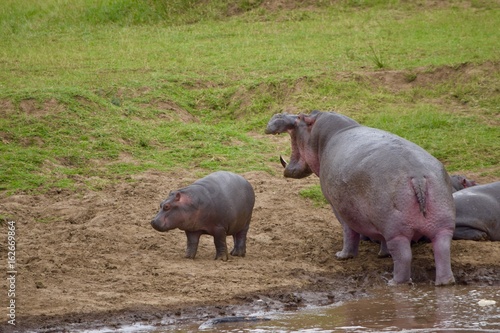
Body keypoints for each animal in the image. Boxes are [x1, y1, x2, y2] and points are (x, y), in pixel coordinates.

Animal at [266, 111, 458, 286]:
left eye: (299, 117)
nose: (278, 114)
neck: (323, 135)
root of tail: (418, 176)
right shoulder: (377, 220)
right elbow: (380, 238)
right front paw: (383, 254)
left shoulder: (339, 208)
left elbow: (349, 232)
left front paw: (342, 256)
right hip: (442, 225)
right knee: (442, 250)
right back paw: (445, 282)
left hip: (397, 231)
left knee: (403, 257)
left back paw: (394, 283)